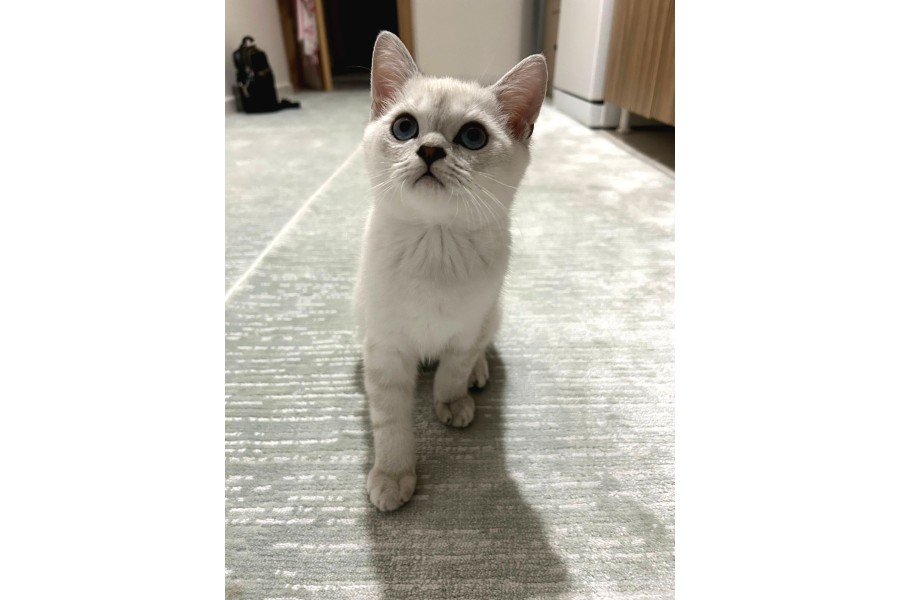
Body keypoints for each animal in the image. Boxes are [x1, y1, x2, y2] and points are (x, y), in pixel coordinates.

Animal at [354, 31, 547, 511]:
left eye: (473, 137)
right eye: (404, 128)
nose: (429, 149)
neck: (435, 241)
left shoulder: (466, 330)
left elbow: (452, 373)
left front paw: (452, 404)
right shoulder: (385, 348)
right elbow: (390, 423)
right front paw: (393, 476)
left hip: (492, 315)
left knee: (477, 354)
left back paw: (478, 376)